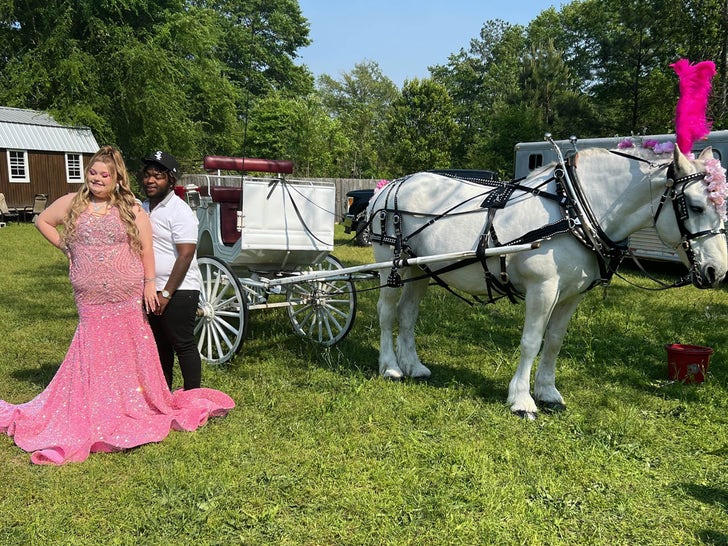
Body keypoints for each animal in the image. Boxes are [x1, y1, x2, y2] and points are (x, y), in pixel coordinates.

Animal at [370, 143, 728, 416]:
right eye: (695, 206)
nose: (718, 271)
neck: (573, 211)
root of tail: (387, 187)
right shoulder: (542, 289)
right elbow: (531, 341)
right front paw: (521, 400)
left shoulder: (571, 295)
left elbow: (554, 341)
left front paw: (547, 392)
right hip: (390, 264)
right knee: (387, 314)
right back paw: (390, 367)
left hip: (419, 269)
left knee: (407, 314)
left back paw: (413, 366)